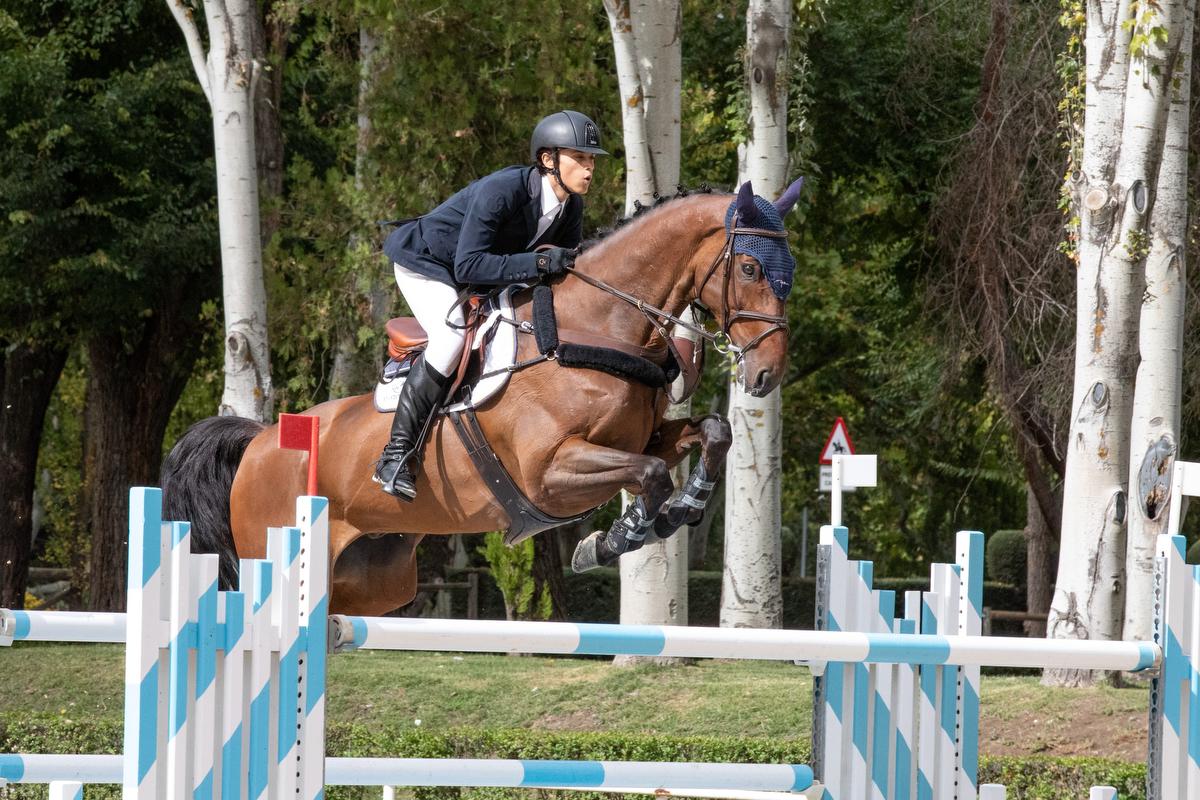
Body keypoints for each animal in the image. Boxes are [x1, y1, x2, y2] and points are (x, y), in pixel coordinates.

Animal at [159, 183, 796, 618]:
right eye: (749, 266)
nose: (767, 373)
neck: (593, 328)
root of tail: (260, 440)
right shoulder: (550, 472)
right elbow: (648, 474)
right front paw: (615, 538)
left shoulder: (640, 439)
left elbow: (710, 435)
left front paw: (679, 510)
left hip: (375, 580)